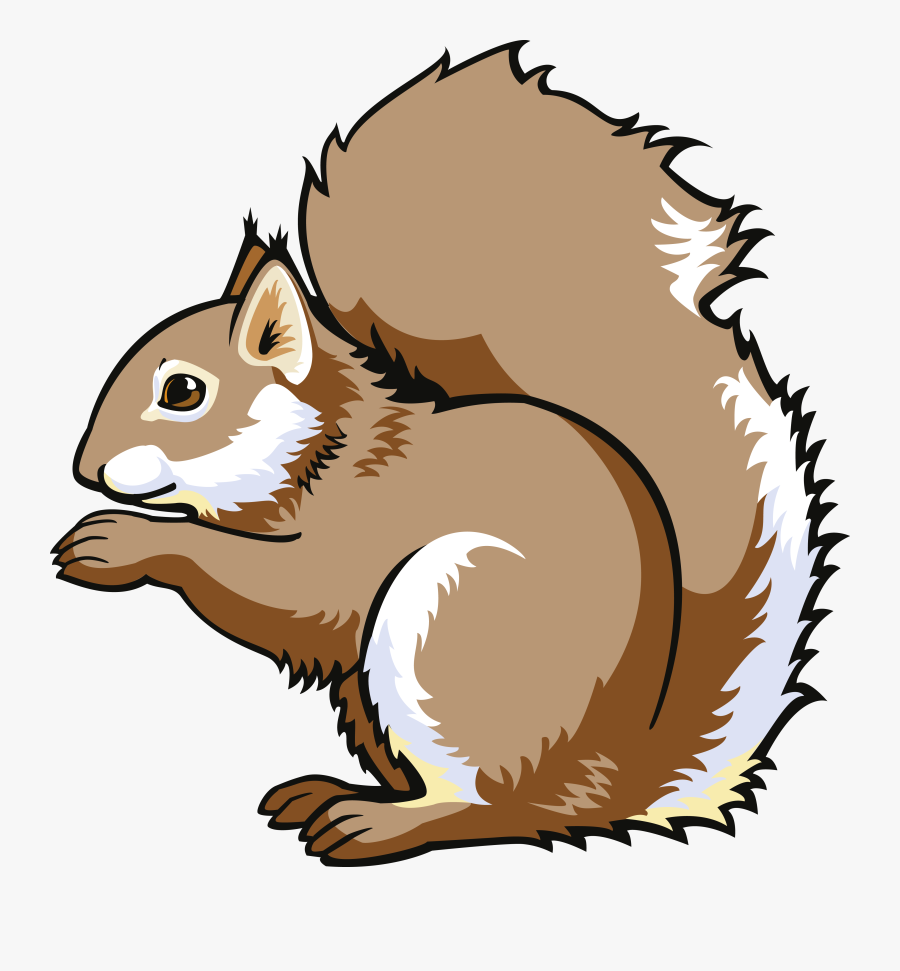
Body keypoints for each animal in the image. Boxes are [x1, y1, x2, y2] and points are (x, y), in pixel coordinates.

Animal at [52, 44, 838, 865]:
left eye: (182, 391)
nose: (83, 468)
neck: (327, 448)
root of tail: (607, 780)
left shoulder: (360, 532)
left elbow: (290, 591)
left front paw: (123, 542)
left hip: (451, 623)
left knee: (487, 807)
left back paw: (371, 821)